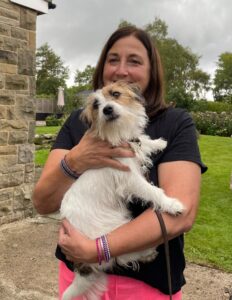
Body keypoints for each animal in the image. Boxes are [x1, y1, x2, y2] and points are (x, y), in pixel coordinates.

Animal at [60, 81, 185, 300]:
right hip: (112, 228)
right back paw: (147, 251)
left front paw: (157, 142)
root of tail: (82, 269)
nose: (107, 109)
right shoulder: (130, 178)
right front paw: (171, 204)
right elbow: (152, 192)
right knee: (119, 256)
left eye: (115, 94)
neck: (114, 136)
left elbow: (141, 140)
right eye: (96, 105)